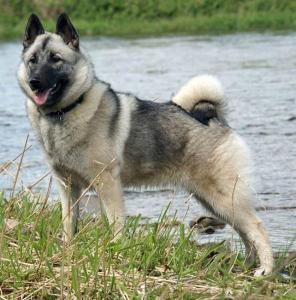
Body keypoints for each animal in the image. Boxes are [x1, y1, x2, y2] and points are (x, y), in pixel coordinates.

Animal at [17, 14, 272, 276]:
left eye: (56, 59)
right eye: (32, 61)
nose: (34, 82)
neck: (65, 112)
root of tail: (213, 117)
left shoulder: (108, 184)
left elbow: (116, 224)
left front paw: (115, 253)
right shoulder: (67, 187)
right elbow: (69, 224)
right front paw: (68, 252)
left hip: (222, 196)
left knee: (256, 227)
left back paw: (265, 270)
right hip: (212, 201)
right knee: (244, 231)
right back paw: (247, 264)